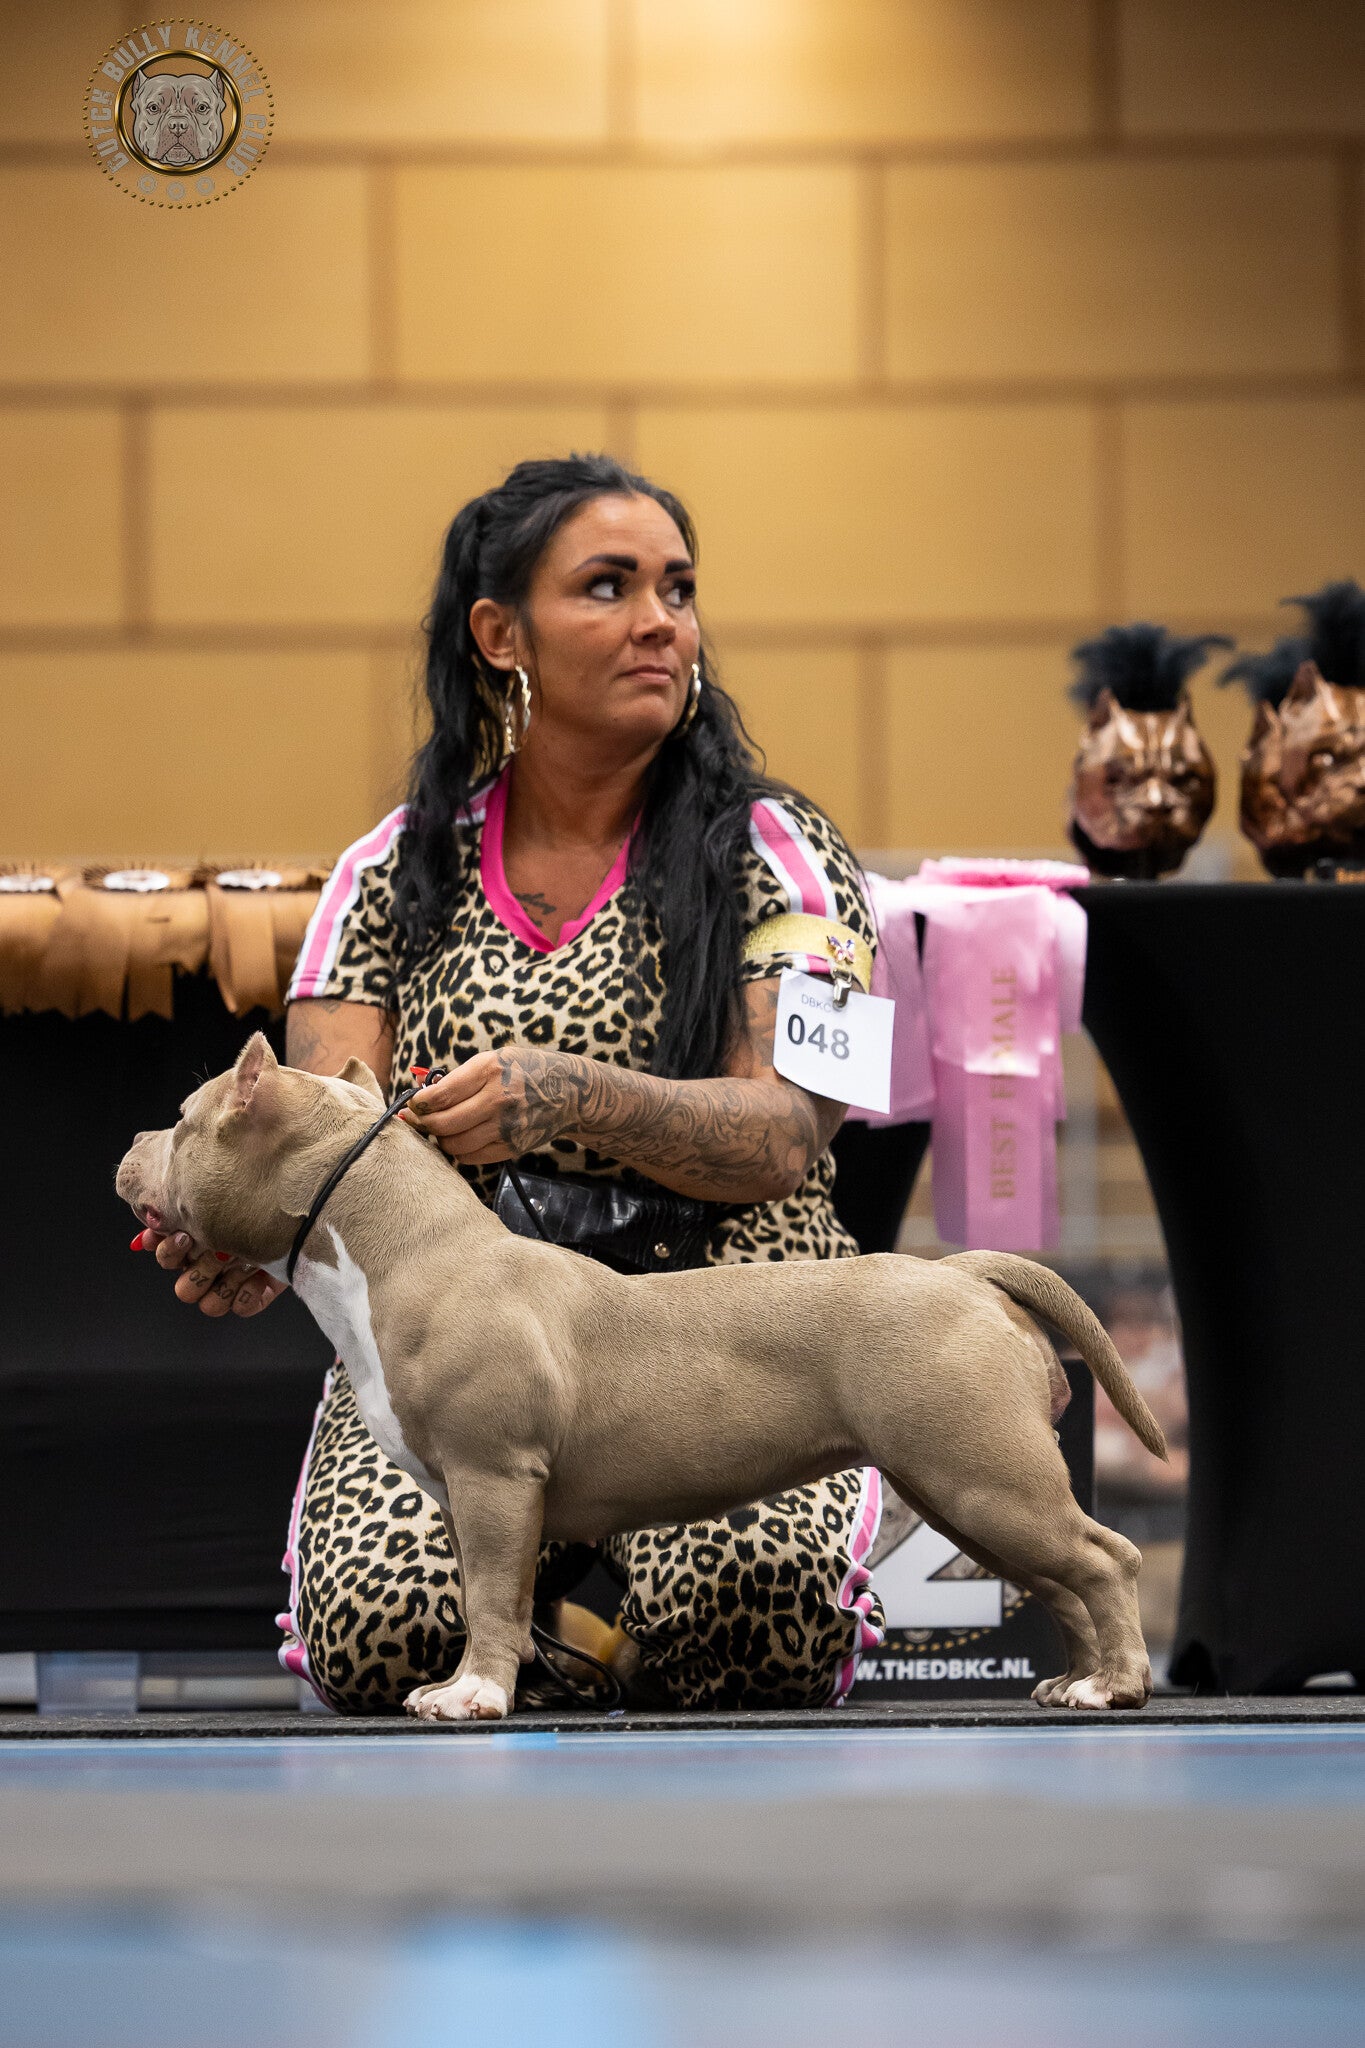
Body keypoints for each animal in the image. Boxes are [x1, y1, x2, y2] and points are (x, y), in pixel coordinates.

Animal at [117, 1036, 1167, 1723]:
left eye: (183, 1123)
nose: (129, 1145)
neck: (402, 1249)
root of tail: (960, 1273)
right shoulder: (475, 1497)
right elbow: (499, 1597)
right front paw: (497, 1683)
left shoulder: (494, 1479)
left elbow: (490, 1599)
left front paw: (472, 1696)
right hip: (967, 1487)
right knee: (1063, 1579)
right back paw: (1075, 1680)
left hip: (980, 1476)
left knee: (1106, 1559)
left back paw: (1115, 1686)